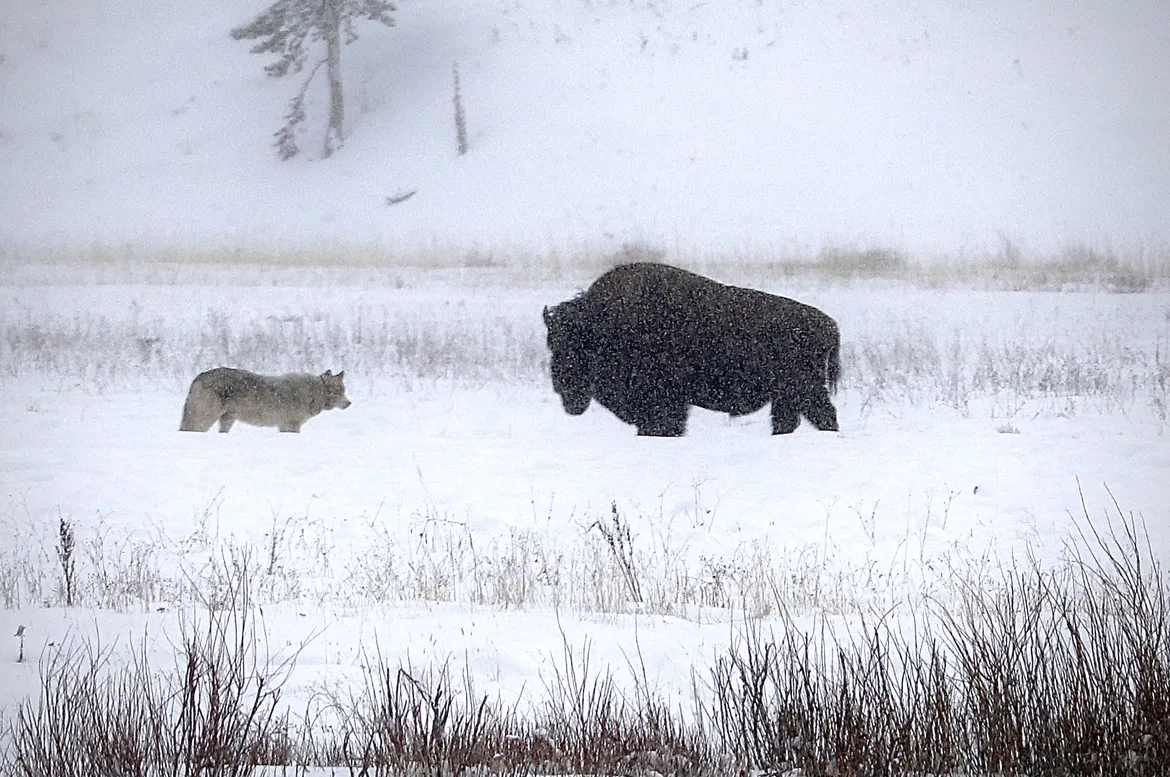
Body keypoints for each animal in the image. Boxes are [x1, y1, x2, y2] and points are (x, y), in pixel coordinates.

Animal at [179, 367, 352, 433]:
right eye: (340, 391)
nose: (349, 403)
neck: (314, 392)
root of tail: (198, 377)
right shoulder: (290, 426)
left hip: (227, 420)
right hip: (205, 420)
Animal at [542, 262, 840, 436]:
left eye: (575, 345)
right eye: (551, 343)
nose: (562, 386)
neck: (601, 323)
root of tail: (827, 323)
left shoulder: (664, 401)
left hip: (805, 390)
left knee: (824, 415)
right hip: (787, 395)